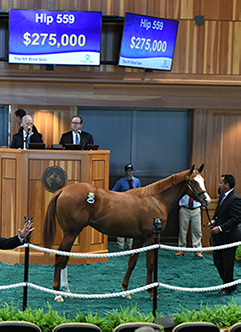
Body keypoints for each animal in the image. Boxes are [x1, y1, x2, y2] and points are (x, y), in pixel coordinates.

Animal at [43, 165, 211, 300]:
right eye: (194, 182)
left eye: (203, 180)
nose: (207, 200)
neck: (156, 200)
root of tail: (63, 190)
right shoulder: (151, 238)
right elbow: (150, 263)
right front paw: (151, 292)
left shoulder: (138, 238)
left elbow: (132, 262)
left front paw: (125, 290)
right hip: (71, 233)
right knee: (60, 257)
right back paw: (58, 293)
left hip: (71, 233)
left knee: (64, 258)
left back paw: (66, 291)